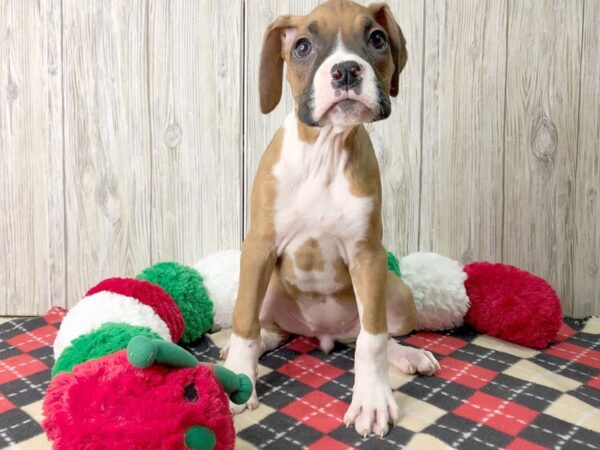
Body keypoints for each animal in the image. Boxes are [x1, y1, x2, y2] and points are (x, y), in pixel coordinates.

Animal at [223, 0, 438, 436]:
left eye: (377, 39)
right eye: (303, 46)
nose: (346, 70)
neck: (324, 151)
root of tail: (319, 334)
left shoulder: (367, 255)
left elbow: (372, 340)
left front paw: (372, 401)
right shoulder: (258, 248)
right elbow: (244, 321)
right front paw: (239, 379)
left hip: (396, 294)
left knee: (370, 334)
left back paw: (406, 354)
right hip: (266, 285)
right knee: (269, 328)